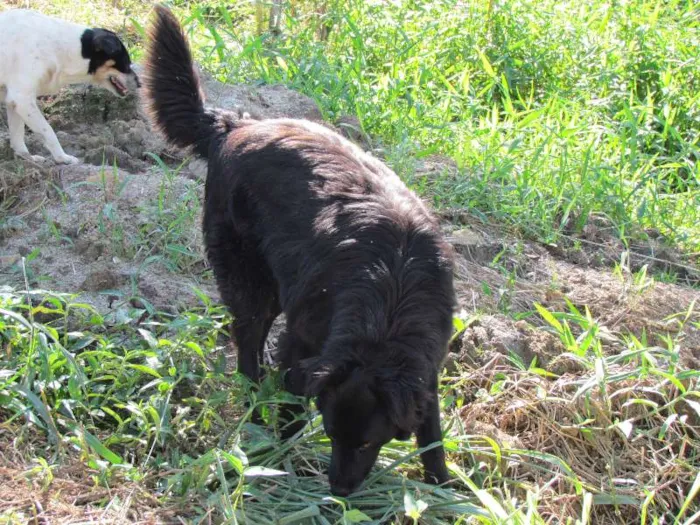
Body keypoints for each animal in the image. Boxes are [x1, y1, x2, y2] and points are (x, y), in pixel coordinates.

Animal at [0, 9, 139, 163]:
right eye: (125, 63)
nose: (140, 83)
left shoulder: (13, 100)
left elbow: (17, 133)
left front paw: (27, 157)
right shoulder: (22, 99)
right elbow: (48, 130)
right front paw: (62, 158)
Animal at [145, 5, 456, 496]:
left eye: (368, 443)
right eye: (330, 433)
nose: (339, 491)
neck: (387, 305)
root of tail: (235, 124)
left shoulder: (428, 367)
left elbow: (432, 435)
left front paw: (443, 488)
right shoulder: (301, 344)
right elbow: (291, 401)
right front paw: (281, 455)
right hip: (251, 280)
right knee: (247, 343)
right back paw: (253, 401)